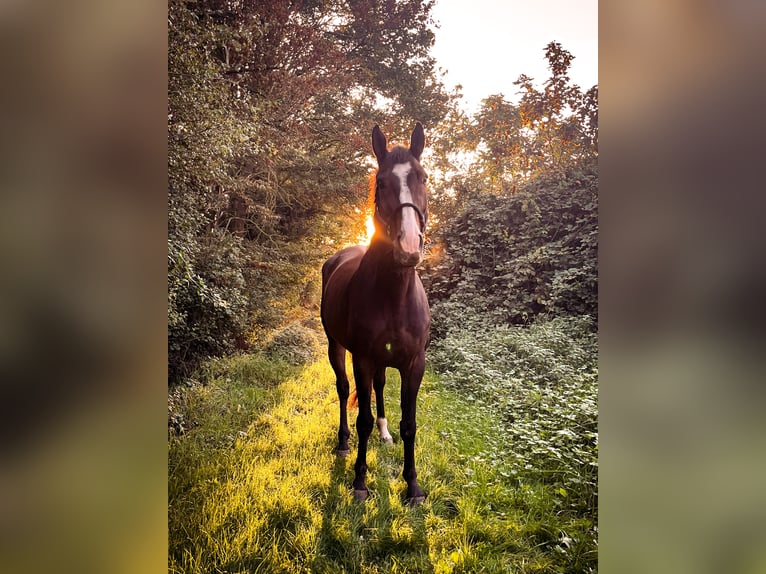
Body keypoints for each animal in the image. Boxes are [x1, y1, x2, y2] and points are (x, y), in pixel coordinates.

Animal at [320, 123, 431, 505]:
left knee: (381, 388)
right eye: (381, 183)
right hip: (336, 348)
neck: (393, 296)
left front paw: (412, 487)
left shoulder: (414, 363)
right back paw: (342, 443)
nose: (409, 246)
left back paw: (384, 434)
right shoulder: (363, 359)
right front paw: (359, 482)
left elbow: (409, 424)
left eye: (423, 177)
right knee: (343, 390)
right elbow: (363, 419)